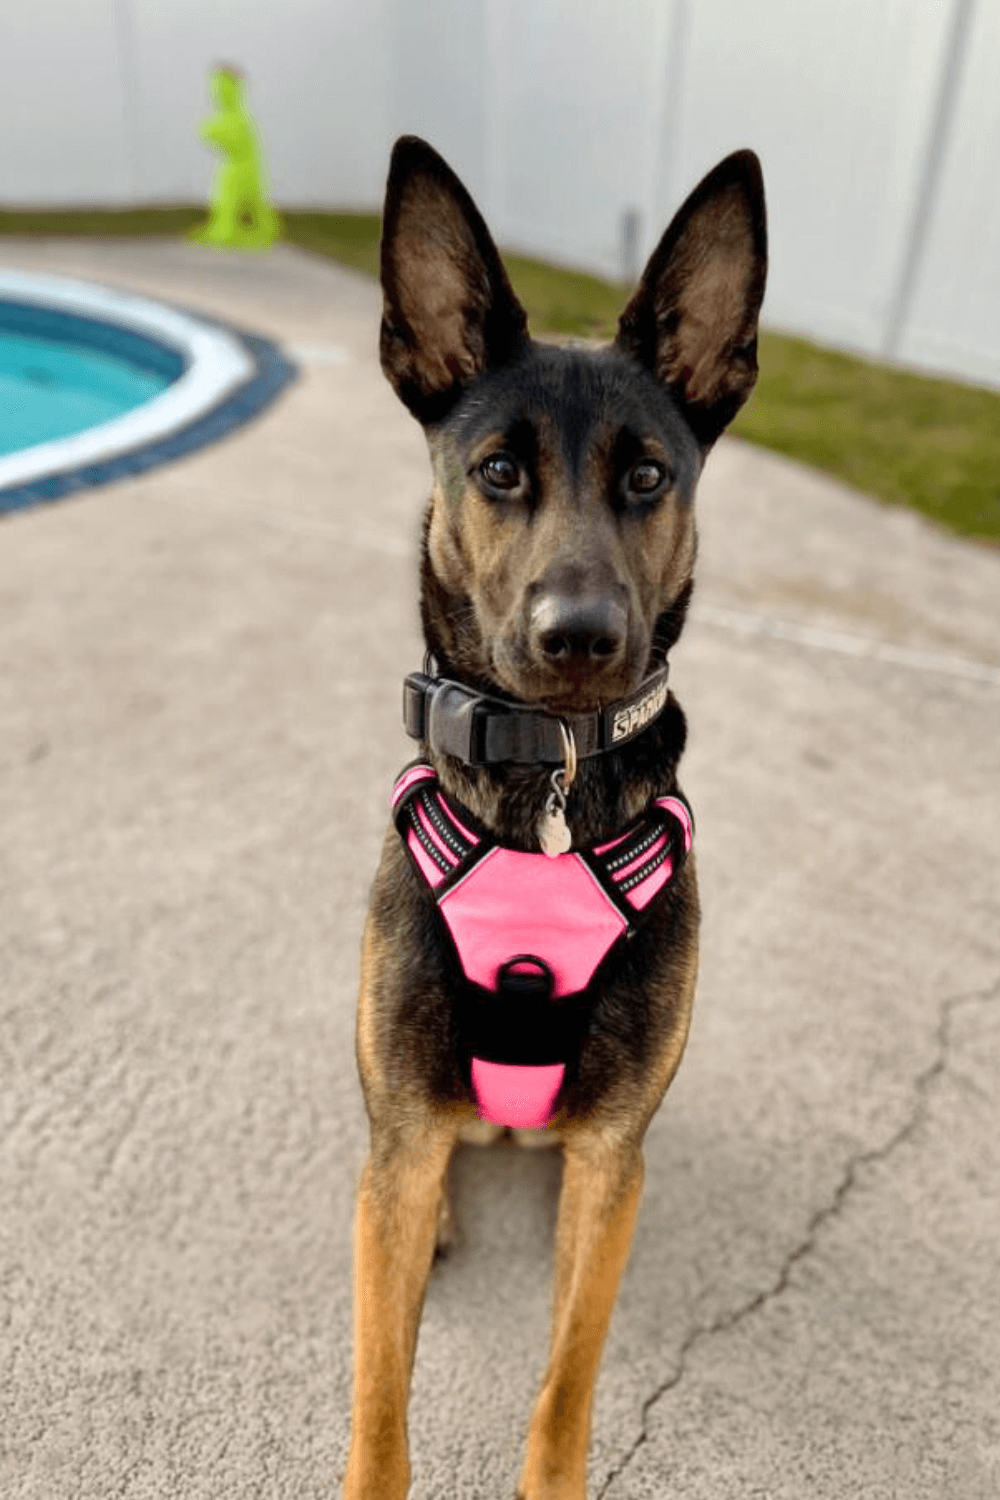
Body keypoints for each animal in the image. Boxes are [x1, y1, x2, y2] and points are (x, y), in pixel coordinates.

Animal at [344, 135, 767, 1494]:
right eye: (497, 471)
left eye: (645, 475)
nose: (578, 637)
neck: (549, 786)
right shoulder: (403, 1134)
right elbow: (381, 1402)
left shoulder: (606, 1162)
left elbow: (566, 1378)